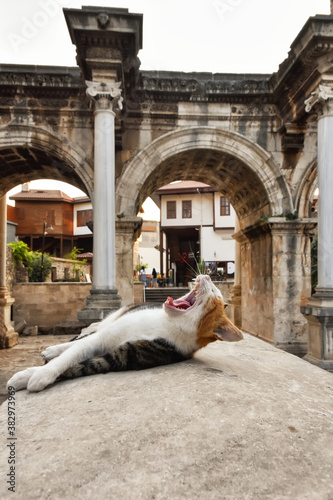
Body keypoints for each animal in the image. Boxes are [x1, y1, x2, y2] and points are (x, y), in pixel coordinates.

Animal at [7, 276, 241, 392]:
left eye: (215, 292)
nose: (207, 274)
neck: (167, 322)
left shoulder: (121, 357)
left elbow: (78, 364)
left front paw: (37, 376)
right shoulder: (104, 337)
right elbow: (72, 353)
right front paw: (31, 373)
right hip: (113, 319)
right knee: (88, 334)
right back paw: (55, 348)